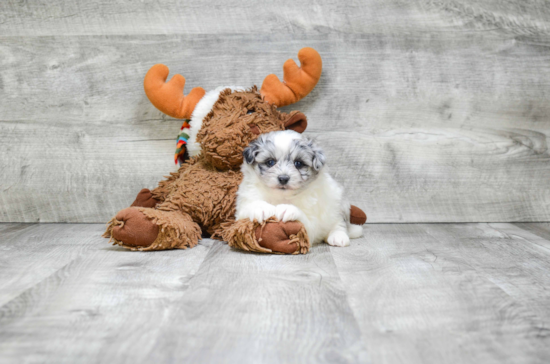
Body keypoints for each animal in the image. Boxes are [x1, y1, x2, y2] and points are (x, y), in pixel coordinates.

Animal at [235, 129, 364, 246]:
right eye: (270, 162)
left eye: (298, 163)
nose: (283, 178)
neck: (281, 197)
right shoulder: (243, 206)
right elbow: (249, 208)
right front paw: (262, 208)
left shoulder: (311, 226)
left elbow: (303, 219)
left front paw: (287, 209)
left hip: (338, 204)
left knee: (339, 223)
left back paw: (338, 236)